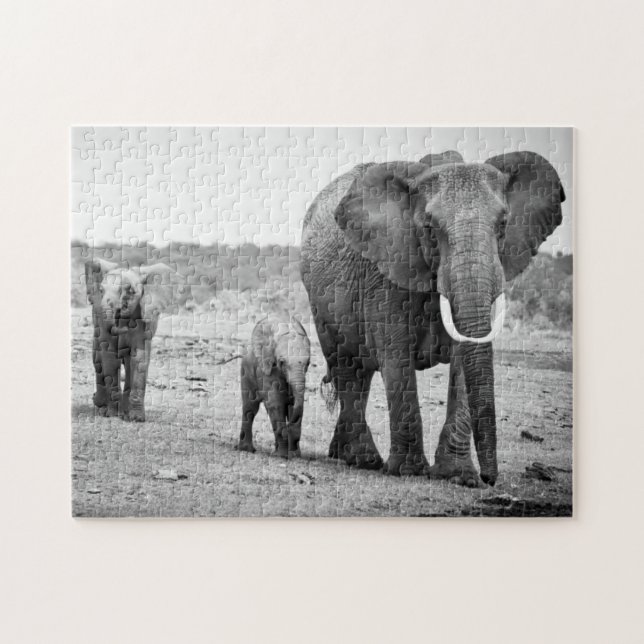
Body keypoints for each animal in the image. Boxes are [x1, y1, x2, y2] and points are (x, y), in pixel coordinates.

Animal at [84, 258, 183, 422]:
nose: (121, 324)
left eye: (130, 291)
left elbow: (139, 358)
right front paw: (112, 414)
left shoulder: (144, 319)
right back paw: (100, 405)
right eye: (101, 290)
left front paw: (136, 419)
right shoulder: (102, 321)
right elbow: (110, 358)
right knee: (98, 360)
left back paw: (123, 411)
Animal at [235, 315, 311, 458]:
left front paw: (294, 455)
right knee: (250, 408)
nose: (288, 428)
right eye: (282, 362)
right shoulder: (267, 367)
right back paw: (247, 449)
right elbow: (275, 403)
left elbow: (294, 405)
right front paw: (282, 455)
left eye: (308, 363)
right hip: (246, 372)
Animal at [300, 150, 565, 486]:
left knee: (360, 374)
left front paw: (459, 476)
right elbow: (395, 355)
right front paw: (409, 471)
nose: (490, 479)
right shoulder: (384, 271)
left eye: (504, 224)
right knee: (349, 368)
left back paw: (346, 455)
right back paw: (364, 460)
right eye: (429, 227)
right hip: (320, 301)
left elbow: (465, 357)